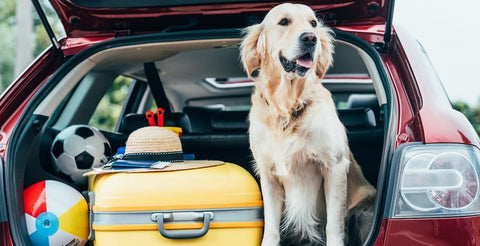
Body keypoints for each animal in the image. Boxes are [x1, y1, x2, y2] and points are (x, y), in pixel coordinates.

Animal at [240, 2, 376, 245]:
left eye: (313, 23)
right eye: (284, 21)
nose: (310, 38)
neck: (288, 108)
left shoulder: (334, 167)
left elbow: (334, 225)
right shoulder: (268, 174)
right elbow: (271, 226)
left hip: (364, 211)